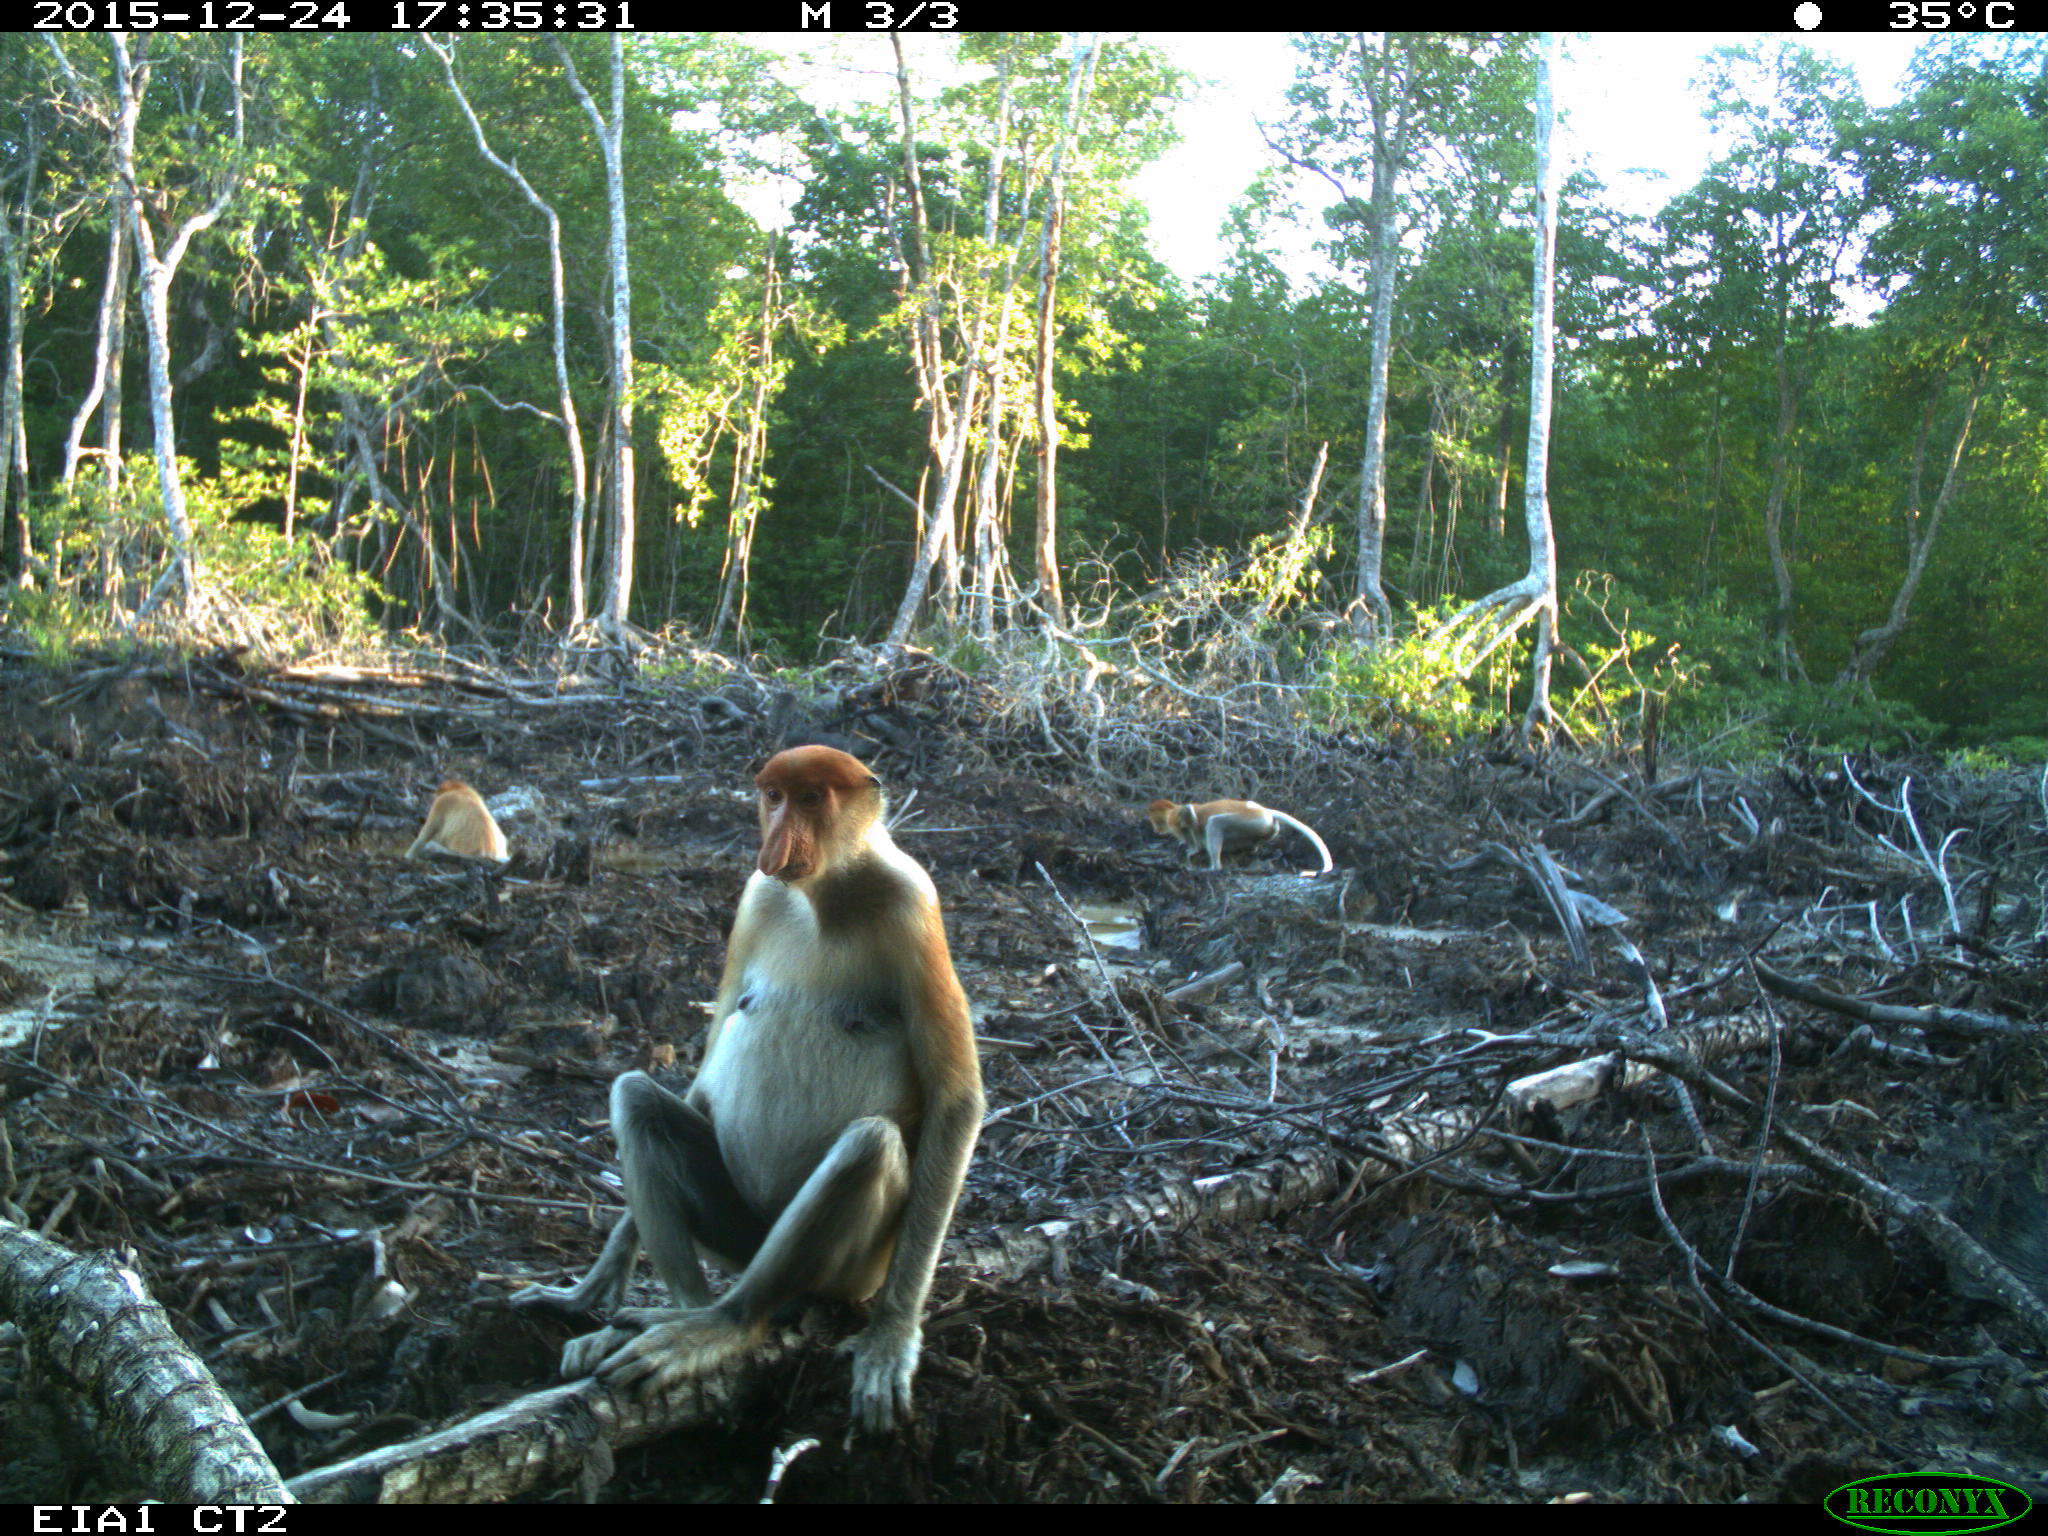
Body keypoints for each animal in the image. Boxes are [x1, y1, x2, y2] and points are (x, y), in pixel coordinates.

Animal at [516, 745, 987, 1433]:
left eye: (812, 798)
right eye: (773, 796)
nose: (776, 839)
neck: (826, 893)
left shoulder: (913, 904)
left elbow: (956, 1102)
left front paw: (892, 1339)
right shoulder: (756, 899)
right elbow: (707, 1069)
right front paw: (591, 1288)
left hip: (855, 1271)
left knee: (868, 1146)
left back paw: (719, 1324)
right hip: (737, 1232)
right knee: (635, 1097)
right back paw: (664, 1314)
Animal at [1146, 794, 1335, 876]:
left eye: (1153, 817)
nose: (1154, 829)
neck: (1171, 810)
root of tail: (1264, 810)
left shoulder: (1176, 818)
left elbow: (1189, 814)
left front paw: (1193, 850)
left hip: (1252, 820)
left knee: (1215, 822)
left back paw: (1214, 868)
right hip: (1265, 828)